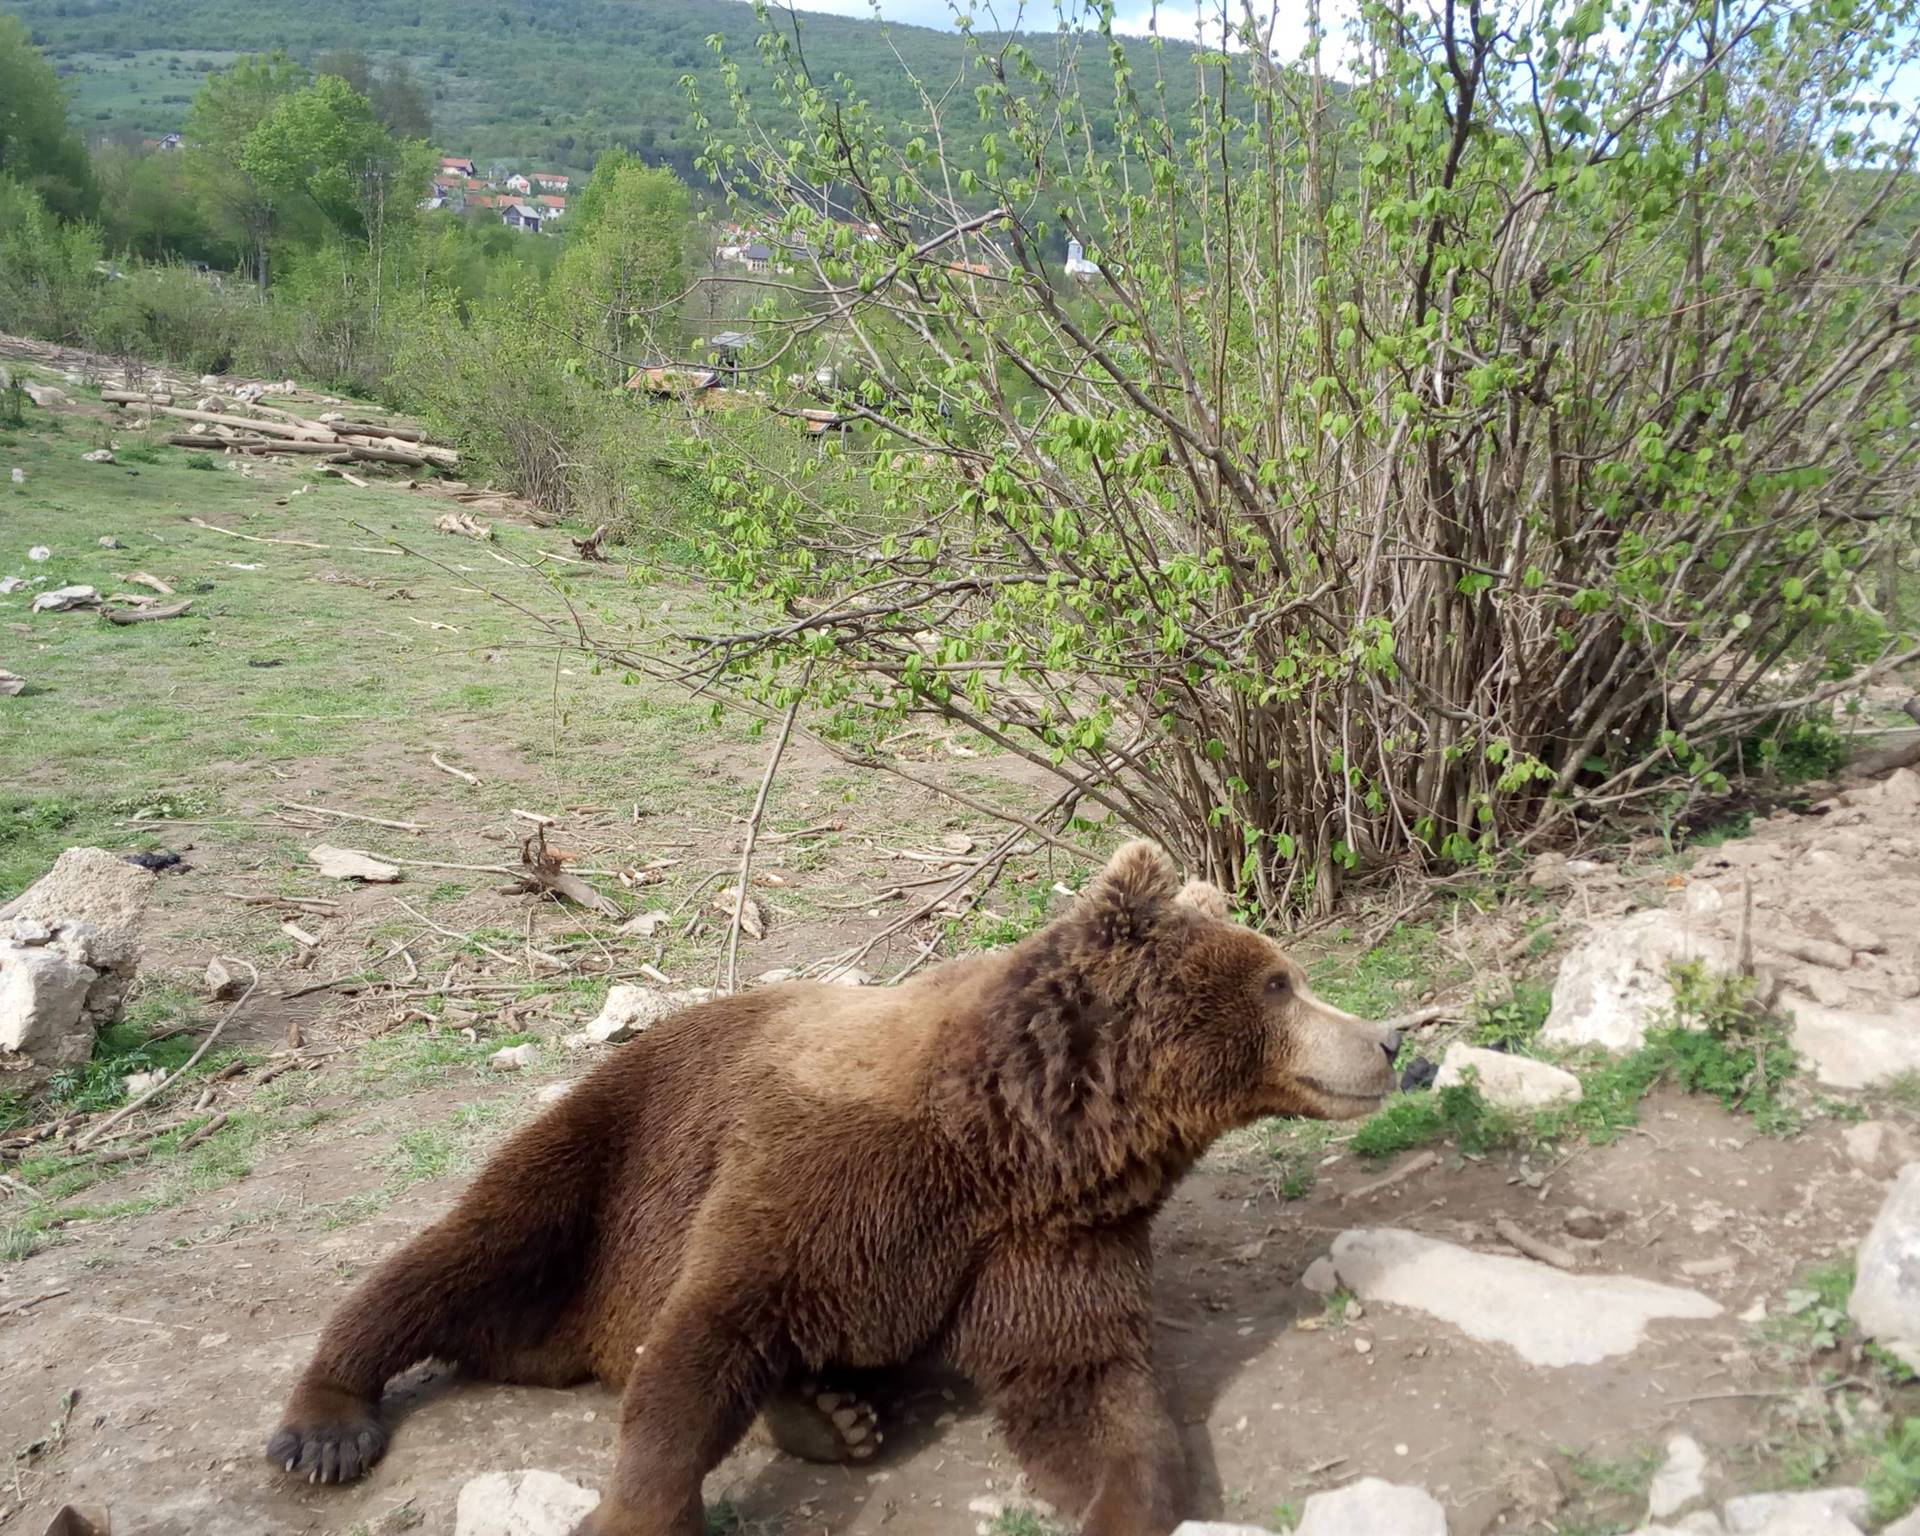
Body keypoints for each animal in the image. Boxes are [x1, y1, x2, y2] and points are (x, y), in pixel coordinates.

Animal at [270, 840, 1405, 1536]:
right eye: (1281, 981)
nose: (1389, 1040)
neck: (1022, 1139)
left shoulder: (1046, 1240)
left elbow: (1088, 1387)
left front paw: (1122, 1500)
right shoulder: (828, 1176)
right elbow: (709, 1331)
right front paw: (636, 1509)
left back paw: (829, 1414)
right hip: (606, 1154)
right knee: (471, 1250)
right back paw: (325, 1425)